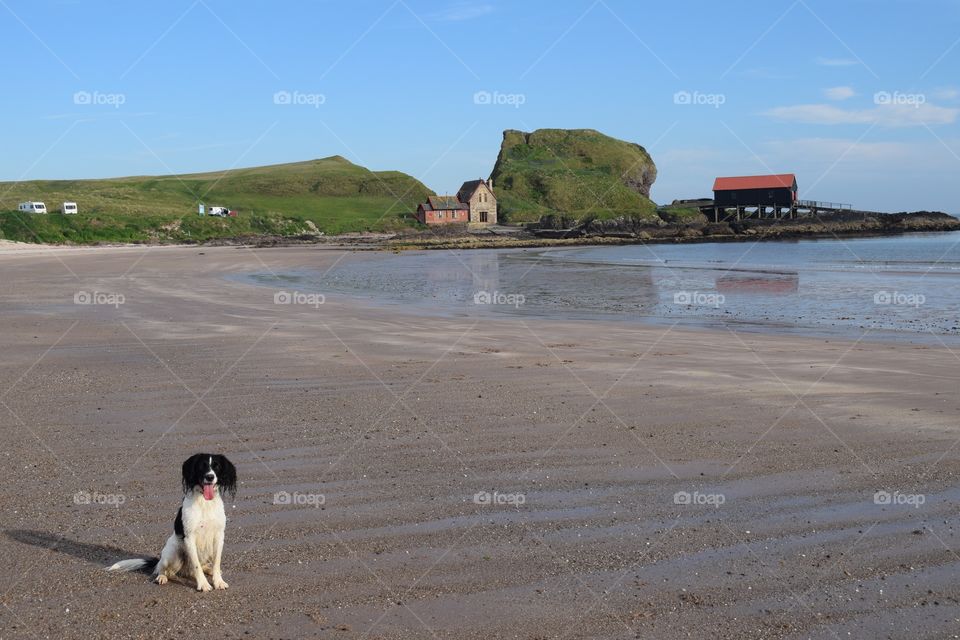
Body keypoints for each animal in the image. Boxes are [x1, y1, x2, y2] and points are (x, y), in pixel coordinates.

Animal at [107, 452, 236, 592]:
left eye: (217, 467)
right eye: (202, 467)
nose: (210, 477)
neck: (205, 503)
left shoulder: (219, 535)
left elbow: (217, 562)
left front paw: (218, 582)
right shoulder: (189, 537)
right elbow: (196, 565)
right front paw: (203, 584)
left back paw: (209, 570)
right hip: (172, 551)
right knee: (164, 569)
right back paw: (161, 577)